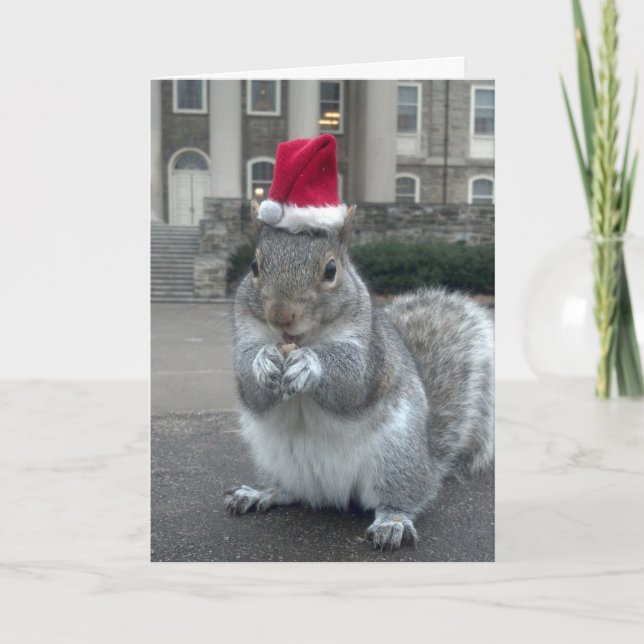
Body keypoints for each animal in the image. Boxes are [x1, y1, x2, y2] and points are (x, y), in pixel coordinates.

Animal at [225, 201, 494, 551]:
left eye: (331, 270)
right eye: (254, 266)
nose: (281, 315)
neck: (303, 340)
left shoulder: (370, 352)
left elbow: (352, 381)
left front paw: (309, 364)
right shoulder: (245, 336)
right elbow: (249, 385)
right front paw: (263, 361)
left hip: (396, 458)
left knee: (402, 498)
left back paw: (392, 522)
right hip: (273, 459)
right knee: (289, 491)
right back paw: (259, 493)